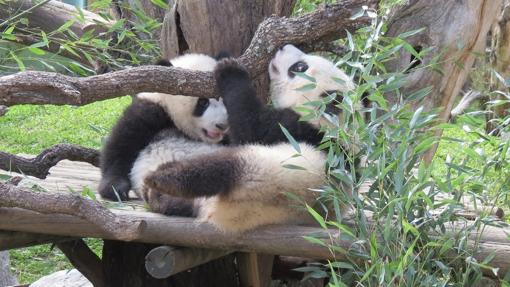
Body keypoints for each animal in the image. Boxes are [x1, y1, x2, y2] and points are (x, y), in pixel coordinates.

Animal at [98, 54, 228, 202]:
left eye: (225, 101)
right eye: (203, 102)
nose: (222, 125)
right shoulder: (151, 111)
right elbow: (122, 145)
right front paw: (115, 189)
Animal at [139, 45, 354, 234]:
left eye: (300, 67)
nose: (283, 47)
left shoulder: (294, 129)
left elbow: (250, 127)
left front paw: (229, 69)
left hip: (260, 167)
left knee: (212, 168)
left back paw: (159, 179)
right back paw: (158, 195)